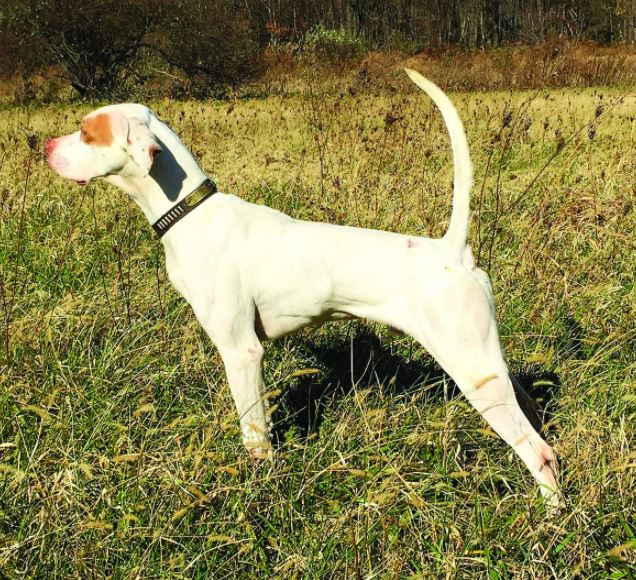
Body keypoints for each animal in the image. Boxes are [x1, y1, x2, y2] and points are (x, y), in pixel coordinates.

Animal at [47, 69, 560, 502]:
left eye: (87, 132)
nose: (46, 146)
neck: (190, 213)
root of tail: (452, 250)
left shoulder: (241, 352)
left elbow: (254, 434)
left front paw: (260, 486)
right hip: (489, 364)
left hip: (472, 372)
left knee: (540, 453)